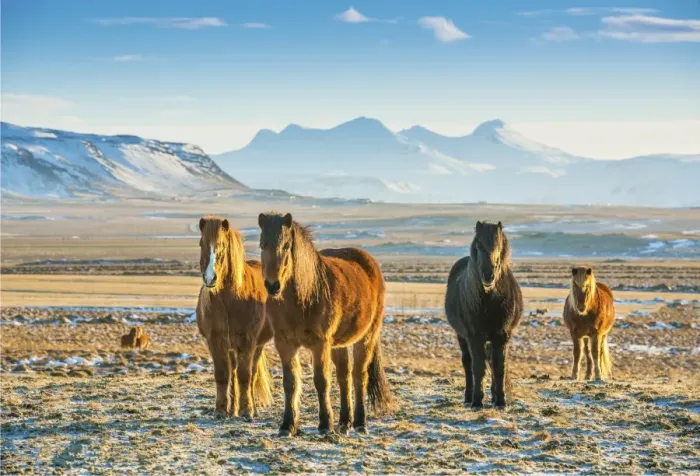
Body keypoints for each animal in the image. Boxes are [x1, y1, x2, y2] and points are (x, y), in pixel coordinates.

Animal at [196, 216, 273, 420]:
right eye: (201, 243)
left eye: (222, 245)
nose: (210, 278)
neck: (229, 300)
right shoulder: (216, 341)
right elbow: (223, 375)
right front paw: (221, 411)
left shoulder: (248, 341)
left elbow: (245, 375)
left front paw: (246, 411)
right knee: (232, 373)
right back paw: (232, 409)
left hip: (257, 345)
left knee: (251, 374)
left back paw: (251, 409)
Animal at [258, 212, 394, 436]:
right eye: (262, 245)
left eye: (286, 246)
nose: (272, 285)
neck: (302, 298)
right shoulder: (284, 343)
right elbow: (290, 383)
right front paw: (287, 425)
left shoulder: (319, 344)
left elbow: (321, 381)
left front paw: (324, 424)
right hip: (339, 343)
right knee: (344, 376)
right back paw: (345, 422)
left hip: (366, 337)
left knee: (359, 375)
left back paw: (360, 422)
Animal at [445, 221, 523, 409]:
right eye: (479, 245)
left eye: (498, 245)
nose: (488, 275)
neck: (489, 300)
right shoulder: (474, 336)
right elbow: (478, 367)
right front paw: (477, 401)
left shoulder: (501, 336)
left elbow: (499, 367)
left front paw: (501, 401)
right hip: (461, 336)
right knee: (467, 363)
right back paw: (468, 397)